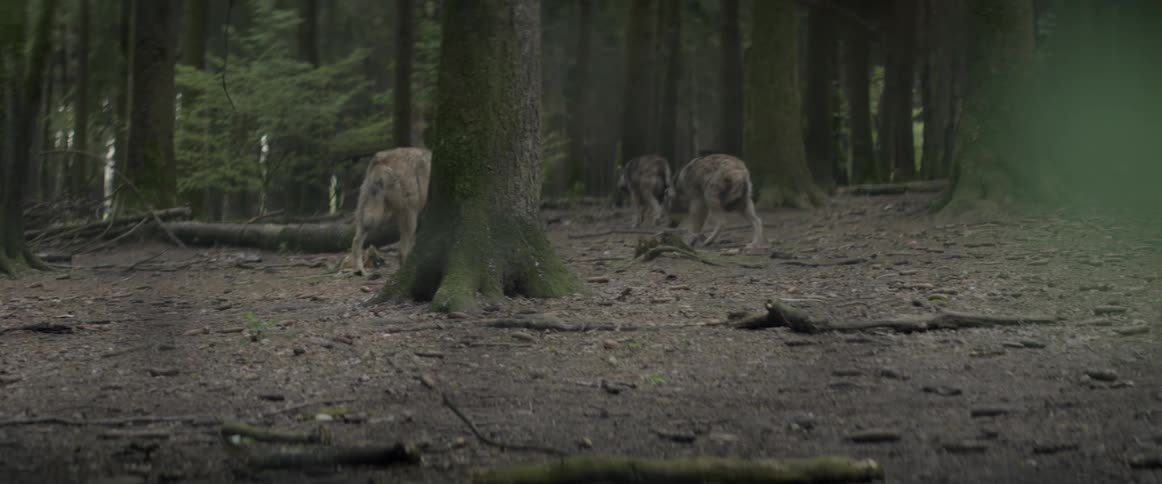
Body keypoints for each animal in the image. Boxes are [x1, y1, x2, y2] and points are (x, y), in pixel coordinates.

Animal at [350, 147, 432, 276]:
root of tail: (380, 160)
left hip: (375, 214)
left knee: (356, 240)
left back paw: (360, 271)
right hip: (408, 212)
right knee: (403, 247)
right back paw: (404, 266)